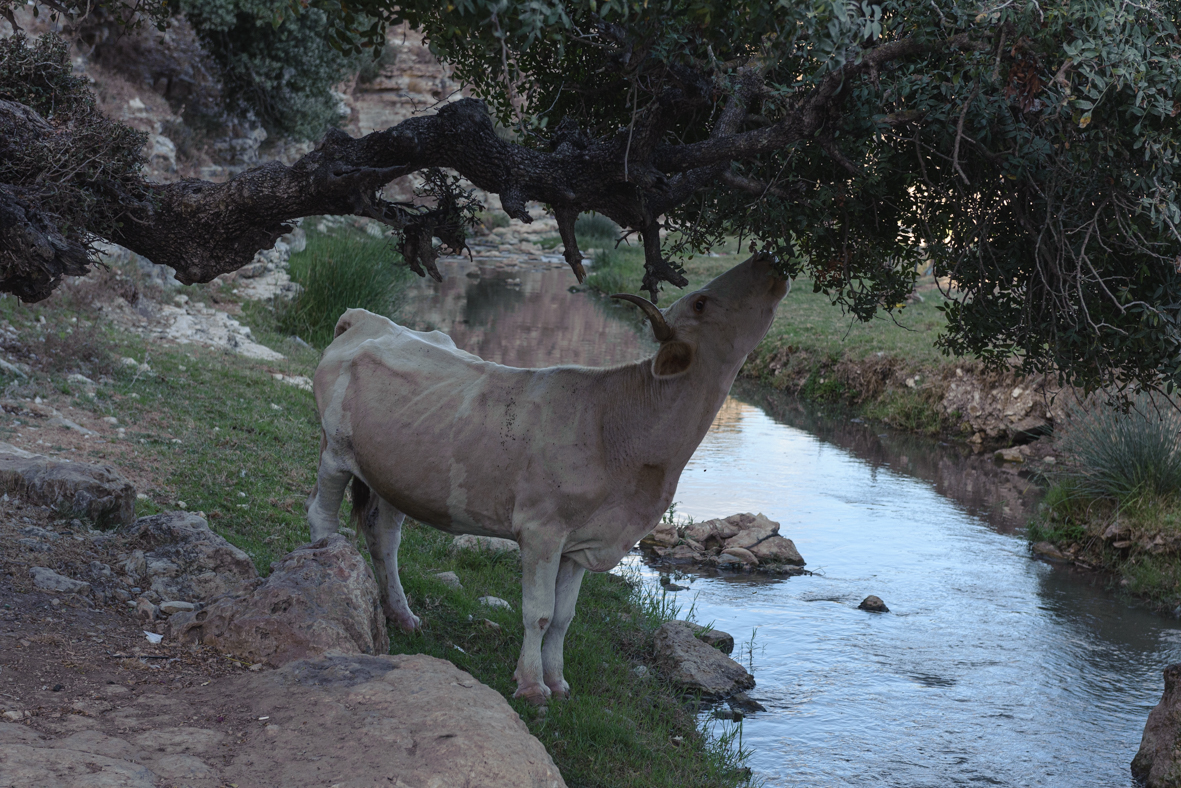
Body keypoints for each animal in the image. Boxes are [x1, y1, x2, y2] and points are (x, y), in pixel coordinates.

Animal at [309, 251, 788, 704]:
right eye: (701, 302)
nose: (766, 258)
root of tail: (364, 318)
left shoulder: (582, 542)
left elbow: (562, 618)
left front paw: (557, 683)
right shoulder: (541, 529)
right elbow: (537, 613)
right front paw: (532, 687)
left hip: (395, 475)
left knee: (384, 536)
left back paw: (403, 616)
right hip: (335, 452)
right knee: (322, 518)